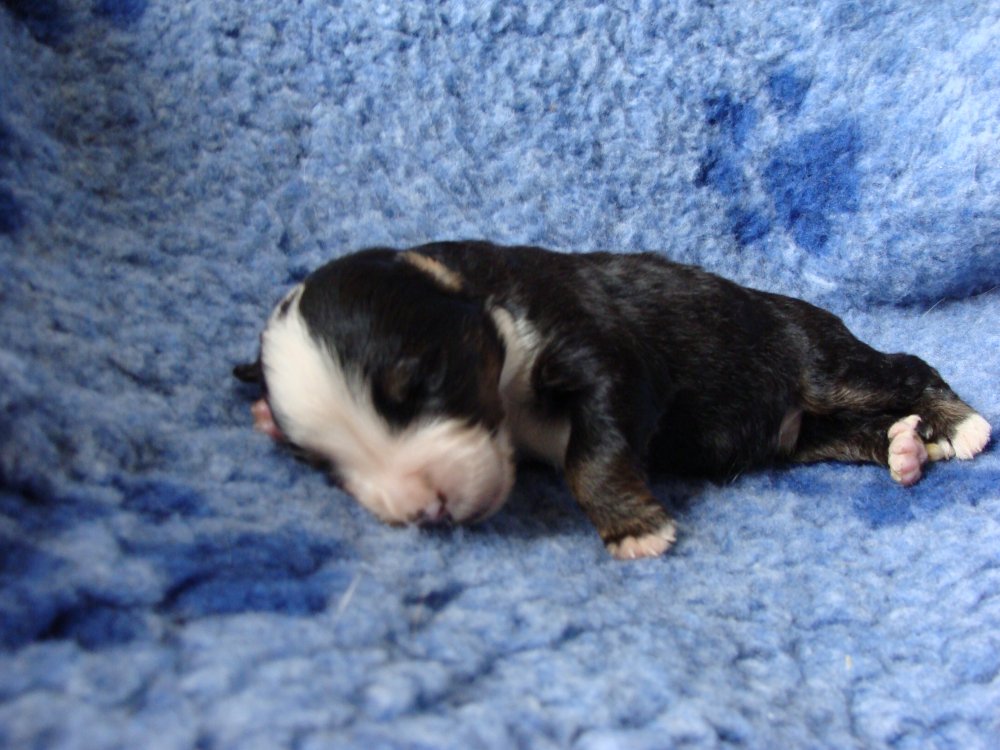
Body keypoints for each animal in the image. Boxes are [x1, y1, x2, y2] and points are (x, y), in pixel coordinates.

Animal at [234, 241, 991, 559]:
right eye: (321, 465)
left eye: (422, 383)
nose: (429, 510)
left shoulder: (604, 356)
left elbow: (588, 455)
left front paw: (633, 529)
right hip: (807, 435)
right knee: (856, 431)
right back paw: (904, 446)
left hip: (816, 358)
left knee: (902, 369)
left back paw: (960, 426)